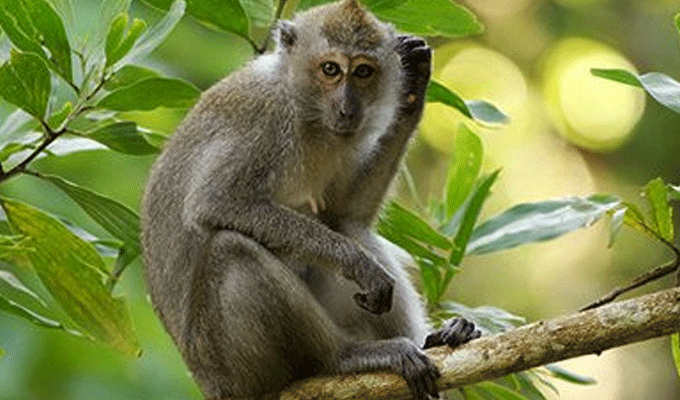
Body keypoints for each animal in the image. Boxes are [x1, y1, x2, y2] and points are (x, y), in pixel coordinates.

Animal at [141, 0, 481, 399]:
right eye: (330, 69)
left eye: (363, 72)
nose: (347, 109)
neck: (306, 110)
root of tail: (209, 385)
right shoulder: (265, 120)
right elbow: (216, 203)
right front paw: (358, 264)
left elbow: (342, 211)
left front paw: (414, 83)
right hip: (233, 365)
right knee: (230, 250)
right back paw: (345, 356)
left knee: (345, 225)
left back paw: (436, 339)